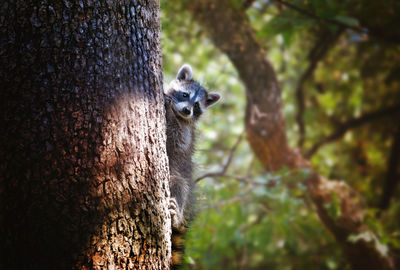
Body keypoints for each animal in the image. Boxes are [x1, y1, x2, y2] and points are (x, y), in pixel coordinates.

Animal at [165, 63, 222, 268]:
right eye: (184, 95)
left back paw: (177, 216)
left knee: (179, 185)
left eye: (197, 106)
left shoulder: (185, 131)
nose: (187, 110)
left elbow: (178, 141)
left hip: (178, 177)